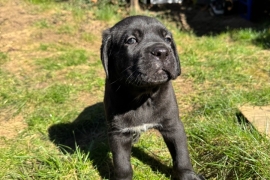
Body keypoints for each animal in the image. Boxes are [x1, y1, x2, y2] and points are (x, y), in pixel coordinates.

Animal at [100, 15, 201, 180]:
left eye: (167, 39)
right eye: (131, 40)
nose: (162, 51)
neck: (143, 95)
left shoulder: (173, 125)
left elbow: (181, 155)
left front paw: (187, 176)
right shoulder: (118, 133)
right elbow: (122, 165)